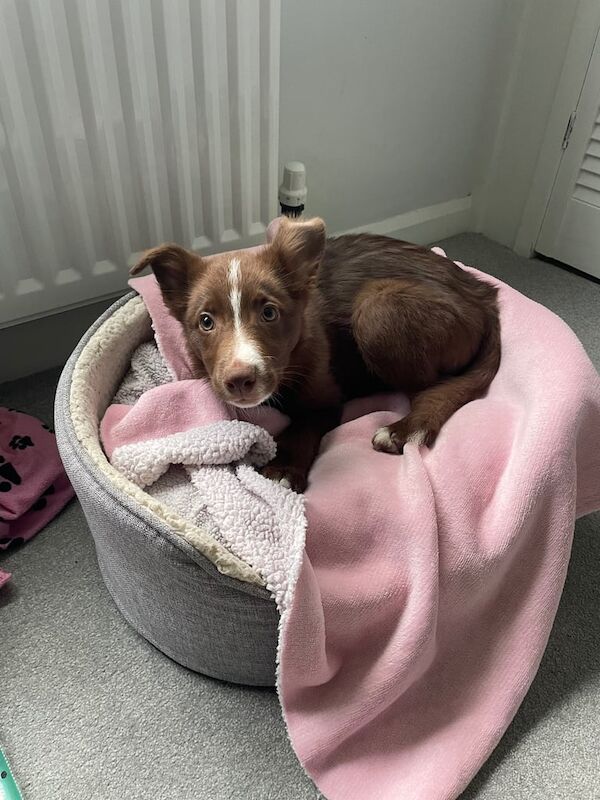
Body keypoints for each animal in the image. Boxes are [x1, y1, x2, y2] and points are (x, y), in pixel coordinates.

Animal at [132, 220, 502, 494]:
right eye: (206, 321)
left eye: (269, 313)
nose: (240, 381)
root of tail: (485, 295)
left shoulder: (325, 396)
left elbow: (306, 423)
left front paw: (284, 468)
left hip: (378, 308)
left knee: (436, 387)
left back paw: (401, 426)